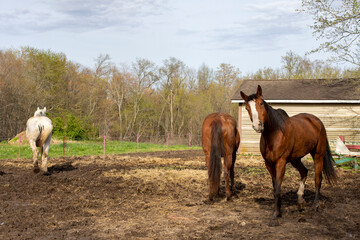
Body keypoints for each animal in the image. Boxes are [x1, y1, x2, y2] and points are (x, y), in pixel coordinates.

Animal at [239, 85, 338, 226]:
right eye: (247, 108)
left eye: (261, 103)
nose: (257, 126)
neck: (274, 134)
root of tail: (317, 121)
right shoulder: (269, 164)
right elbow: (275, 187)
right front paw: (278, 210)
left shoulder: (281, 163)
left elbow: (277, 188)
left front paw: (275, 214)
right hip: (295, 159)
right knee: (304, 172)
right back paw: (300, 201)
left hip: (318, 155)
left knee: (318, 179)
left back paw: (315, 206)